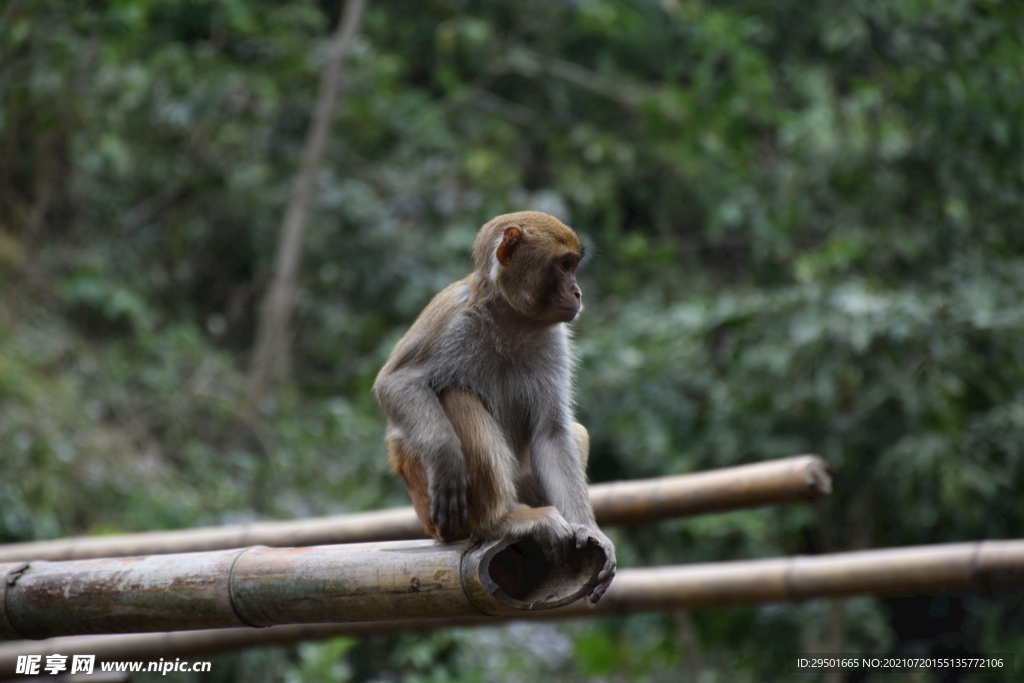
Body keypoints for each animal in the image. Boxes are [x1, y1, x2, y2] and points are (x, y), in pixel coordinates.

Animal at [376, 209, 614, 602]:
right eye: (565, 265)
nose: (578, 292)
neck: (513, 320)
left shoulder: (554, 340)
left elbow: (552, 432)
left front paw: (588, 529)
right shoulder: (454, 315)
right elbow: (397, 382)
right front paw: (445, 457)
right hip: (436, 516)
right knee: (456, 396)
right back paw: (501, 519)